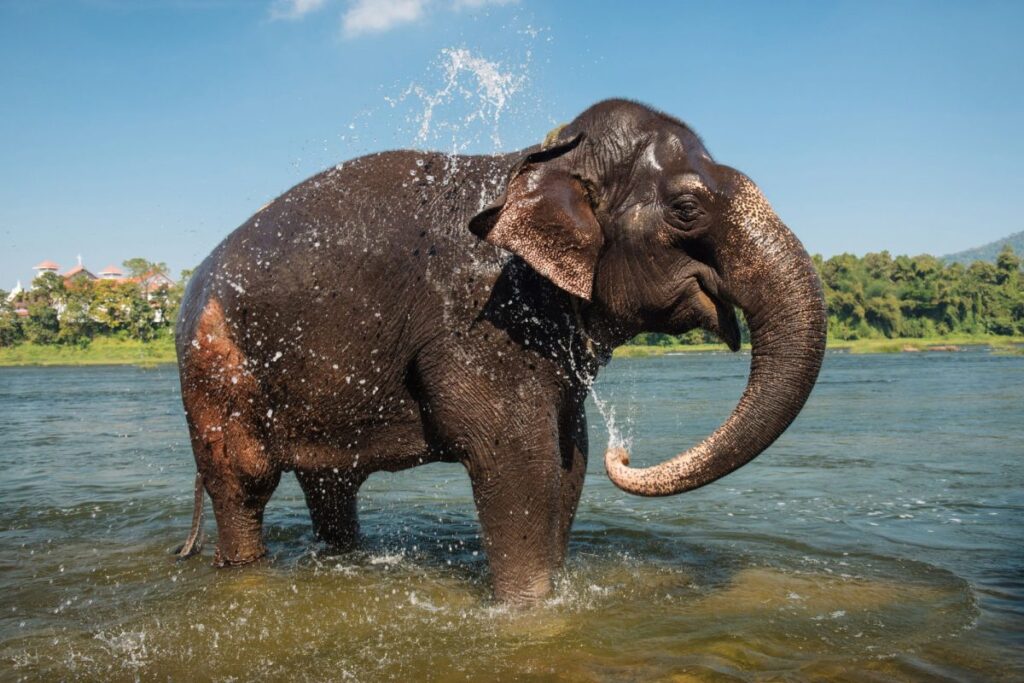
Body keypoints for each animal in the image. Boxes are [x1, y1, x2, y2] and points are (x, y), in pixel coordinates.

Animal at [176, 100, 827, 602]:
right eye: (686, 209)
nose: (625, 454)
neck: (542, 160)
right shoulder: (478, 320)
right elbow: (515, 458)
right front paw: (528, 613)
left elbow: (570, 460)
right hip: (213, 366)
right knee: (244, 481)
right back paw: (245, 570)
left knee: (332, 487)